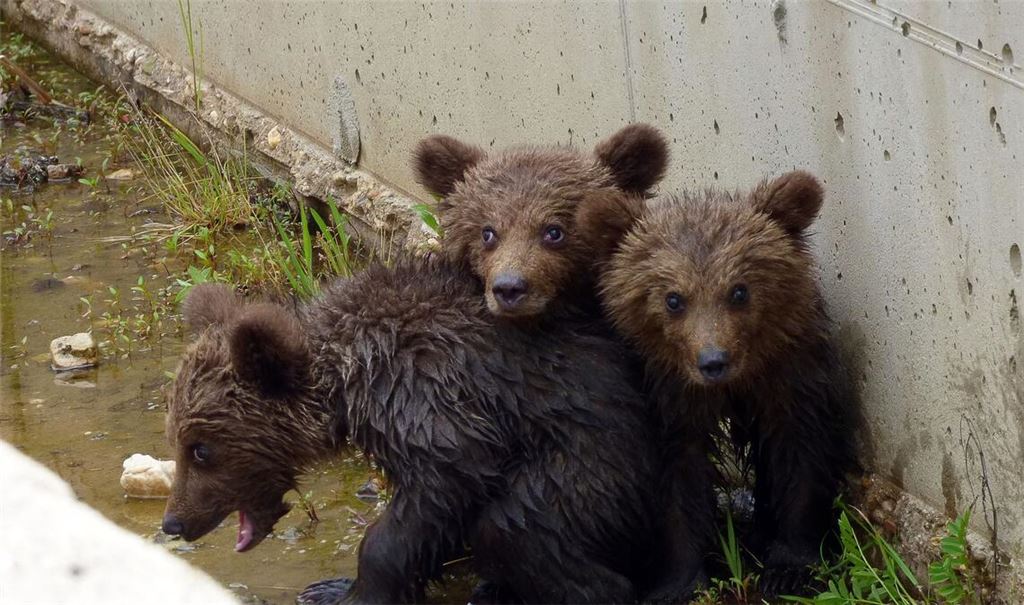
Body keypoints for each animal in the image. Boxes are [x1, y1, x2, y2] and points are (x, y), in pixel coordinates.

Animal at [161, 258, 659, 604]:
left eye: (201, 450)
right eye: (179, 440)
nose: (174, 523)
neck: (347, 378)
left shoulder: (424, 397)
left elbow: (440, 485)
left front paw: (353, 592)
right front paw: (331, 587)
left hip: (586, 463)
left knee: (519, 527)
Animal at [600, 171, 856, 599]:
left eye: (739, 290)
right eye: (673, 299)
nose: (713, 361)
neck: (737, 383)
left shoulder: (789, 376)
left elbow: (800, 455)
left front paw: (790, 567)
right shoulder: (671, 397)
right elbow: (678, 478)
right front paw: (680, 582)